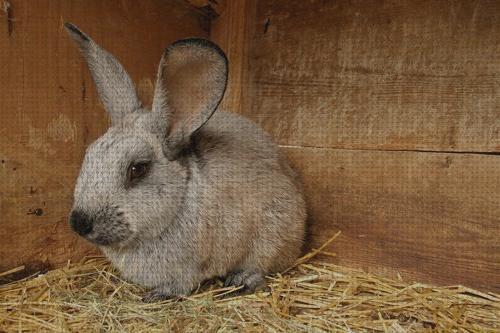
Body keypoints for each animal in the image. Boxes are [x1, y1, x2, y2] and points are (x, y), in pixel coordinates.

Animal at [64, 22, 306, 300]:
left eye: (137, 169)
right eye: (89, 155)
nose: (79, 223)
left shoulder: (189, 269)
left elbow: (181, 285)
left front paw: (155, 296)